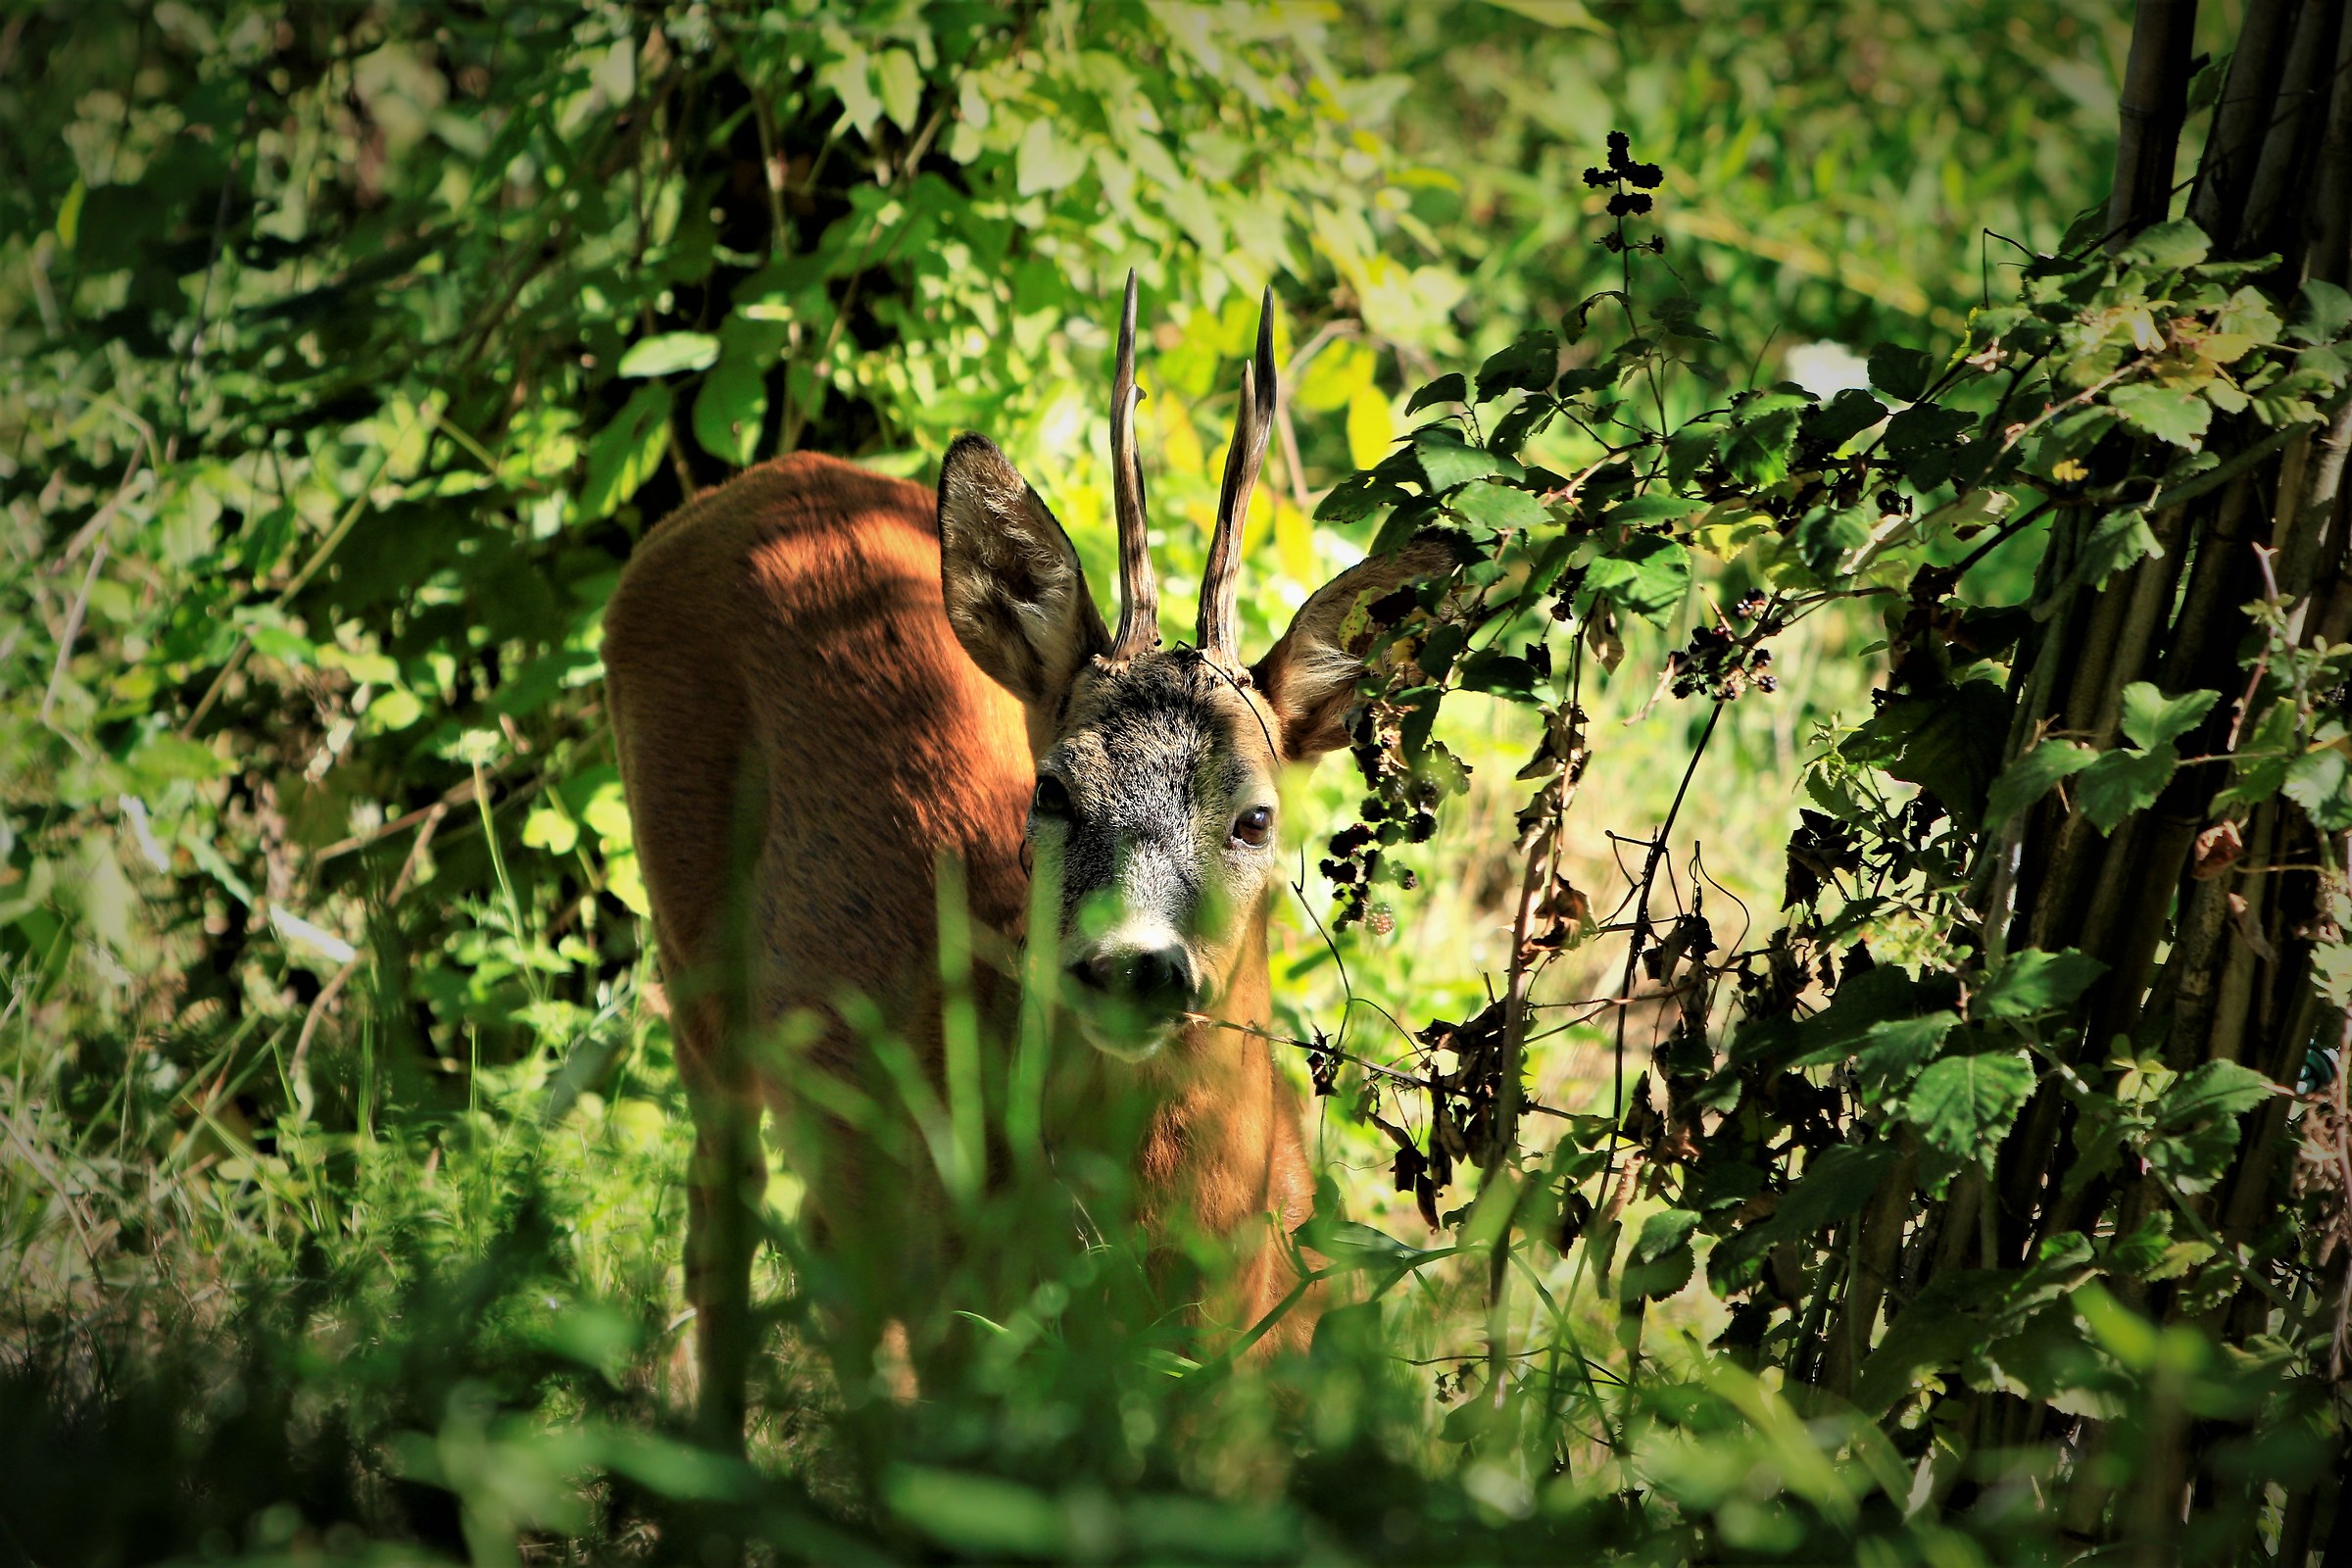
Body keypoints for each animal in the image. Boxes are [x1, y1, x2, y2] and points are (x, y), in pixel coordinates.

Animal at [601, 273, 1449, 1446]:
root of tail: (755, 483)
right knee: (717, 1223)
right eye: (1050, 790)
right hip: (691, 959)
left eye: (1254, 818)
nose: (1133, 964)